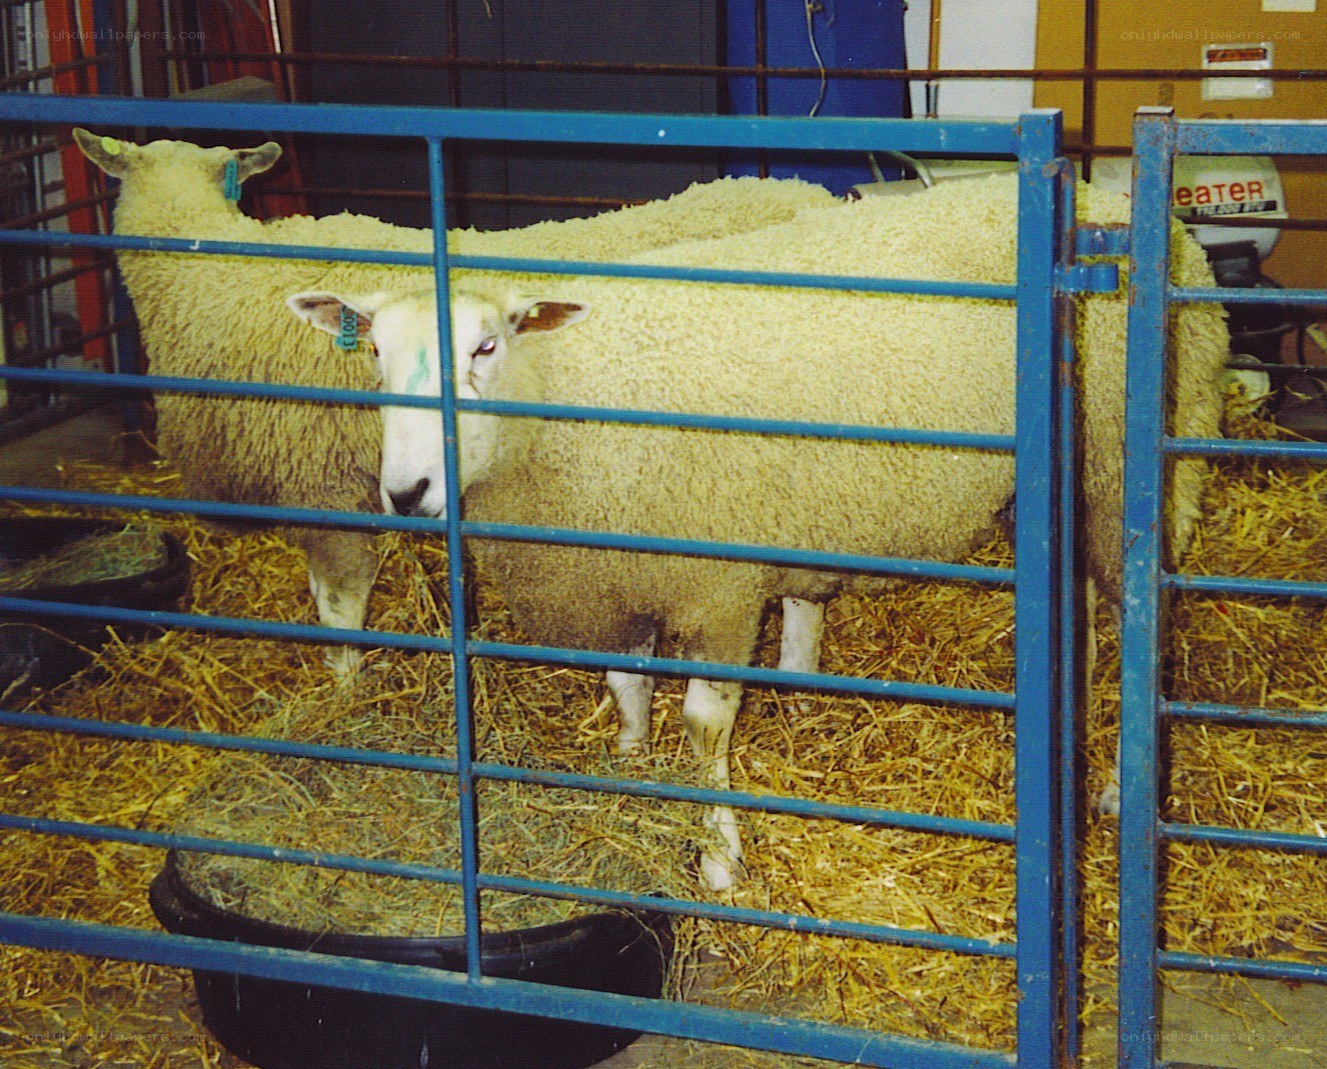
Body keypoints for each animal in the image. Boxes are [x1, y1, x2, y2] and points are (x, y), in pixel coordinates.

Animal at [289, 170, 1227, 891]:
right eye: (373, 353)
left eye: (486, 347)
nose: (406, 491)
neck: (571, 393)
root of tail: (1110, 196)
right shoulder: (612, 571)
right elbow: (626, 681)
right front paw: (630, 760)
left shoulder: (718, 585)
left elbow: (705, 725)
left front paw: (718, 856)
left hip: (1133, 467)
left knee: (1139, 611)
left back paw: (1119, 786)